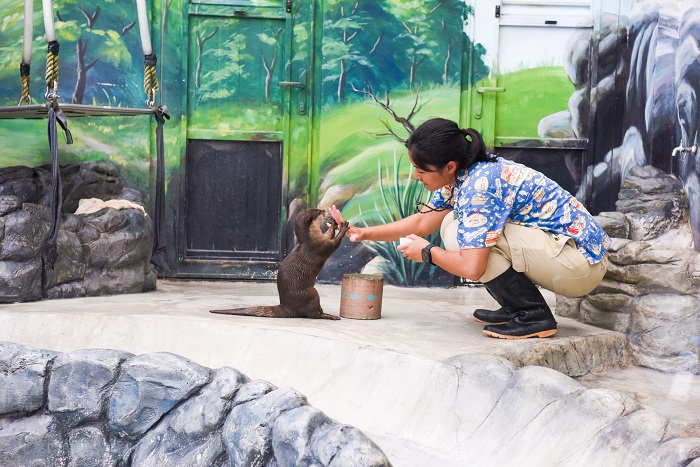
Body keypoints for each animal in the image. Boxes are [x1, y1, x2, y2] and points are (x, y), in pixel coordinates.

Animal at [209, 210, 348, 320]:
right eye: (319, 212)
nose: (324, 210)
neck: (310, 239)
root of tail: (287, 307)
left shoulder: (322, 239)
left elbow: (328, 234)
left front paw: (334, 224)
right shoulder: (320, 246)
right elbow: (334, 243)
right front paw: (343, 228)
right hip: (312, 294)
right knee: (313, 314)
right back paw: (330, 316)